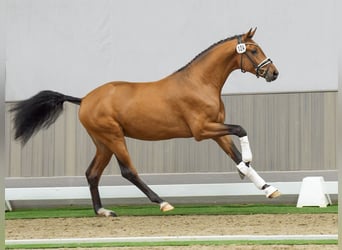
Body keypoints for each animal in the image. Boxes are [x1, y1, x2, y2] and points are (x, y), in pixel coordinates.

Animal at [11, 27, 280, 217]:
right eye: (253, 50)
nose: (274, 73)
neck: (199, 82)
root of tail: (85, 99)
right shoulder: (202, 130)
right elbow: (241, 130)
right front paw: (246, 166)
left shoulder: (216, 131)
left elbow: (235, 152)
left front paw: (267, 187)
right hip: (114, 137)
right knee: (128, 171)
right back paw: (162, 203)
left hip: (103, 143)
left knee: (92, 173)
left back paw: (103, 211)